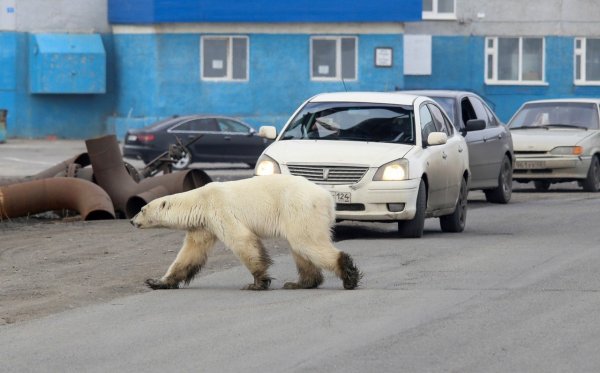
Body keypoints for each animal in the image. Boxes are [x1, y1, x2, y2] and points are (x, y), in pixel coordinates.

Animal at [132, 173, 364, 290]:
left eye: (142, 209)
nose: (133, 221)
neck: (199, 201)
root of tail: (327, 197)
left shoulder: (219, 209)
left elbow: (242, 240)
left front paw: (257, 283)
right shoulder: (203, 225)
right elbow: (190, 253)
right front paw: (157, 282)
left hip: (299, 208)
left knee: (306, 242)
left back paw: (348, 276)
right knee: (301, 249)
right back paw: (300, 283)